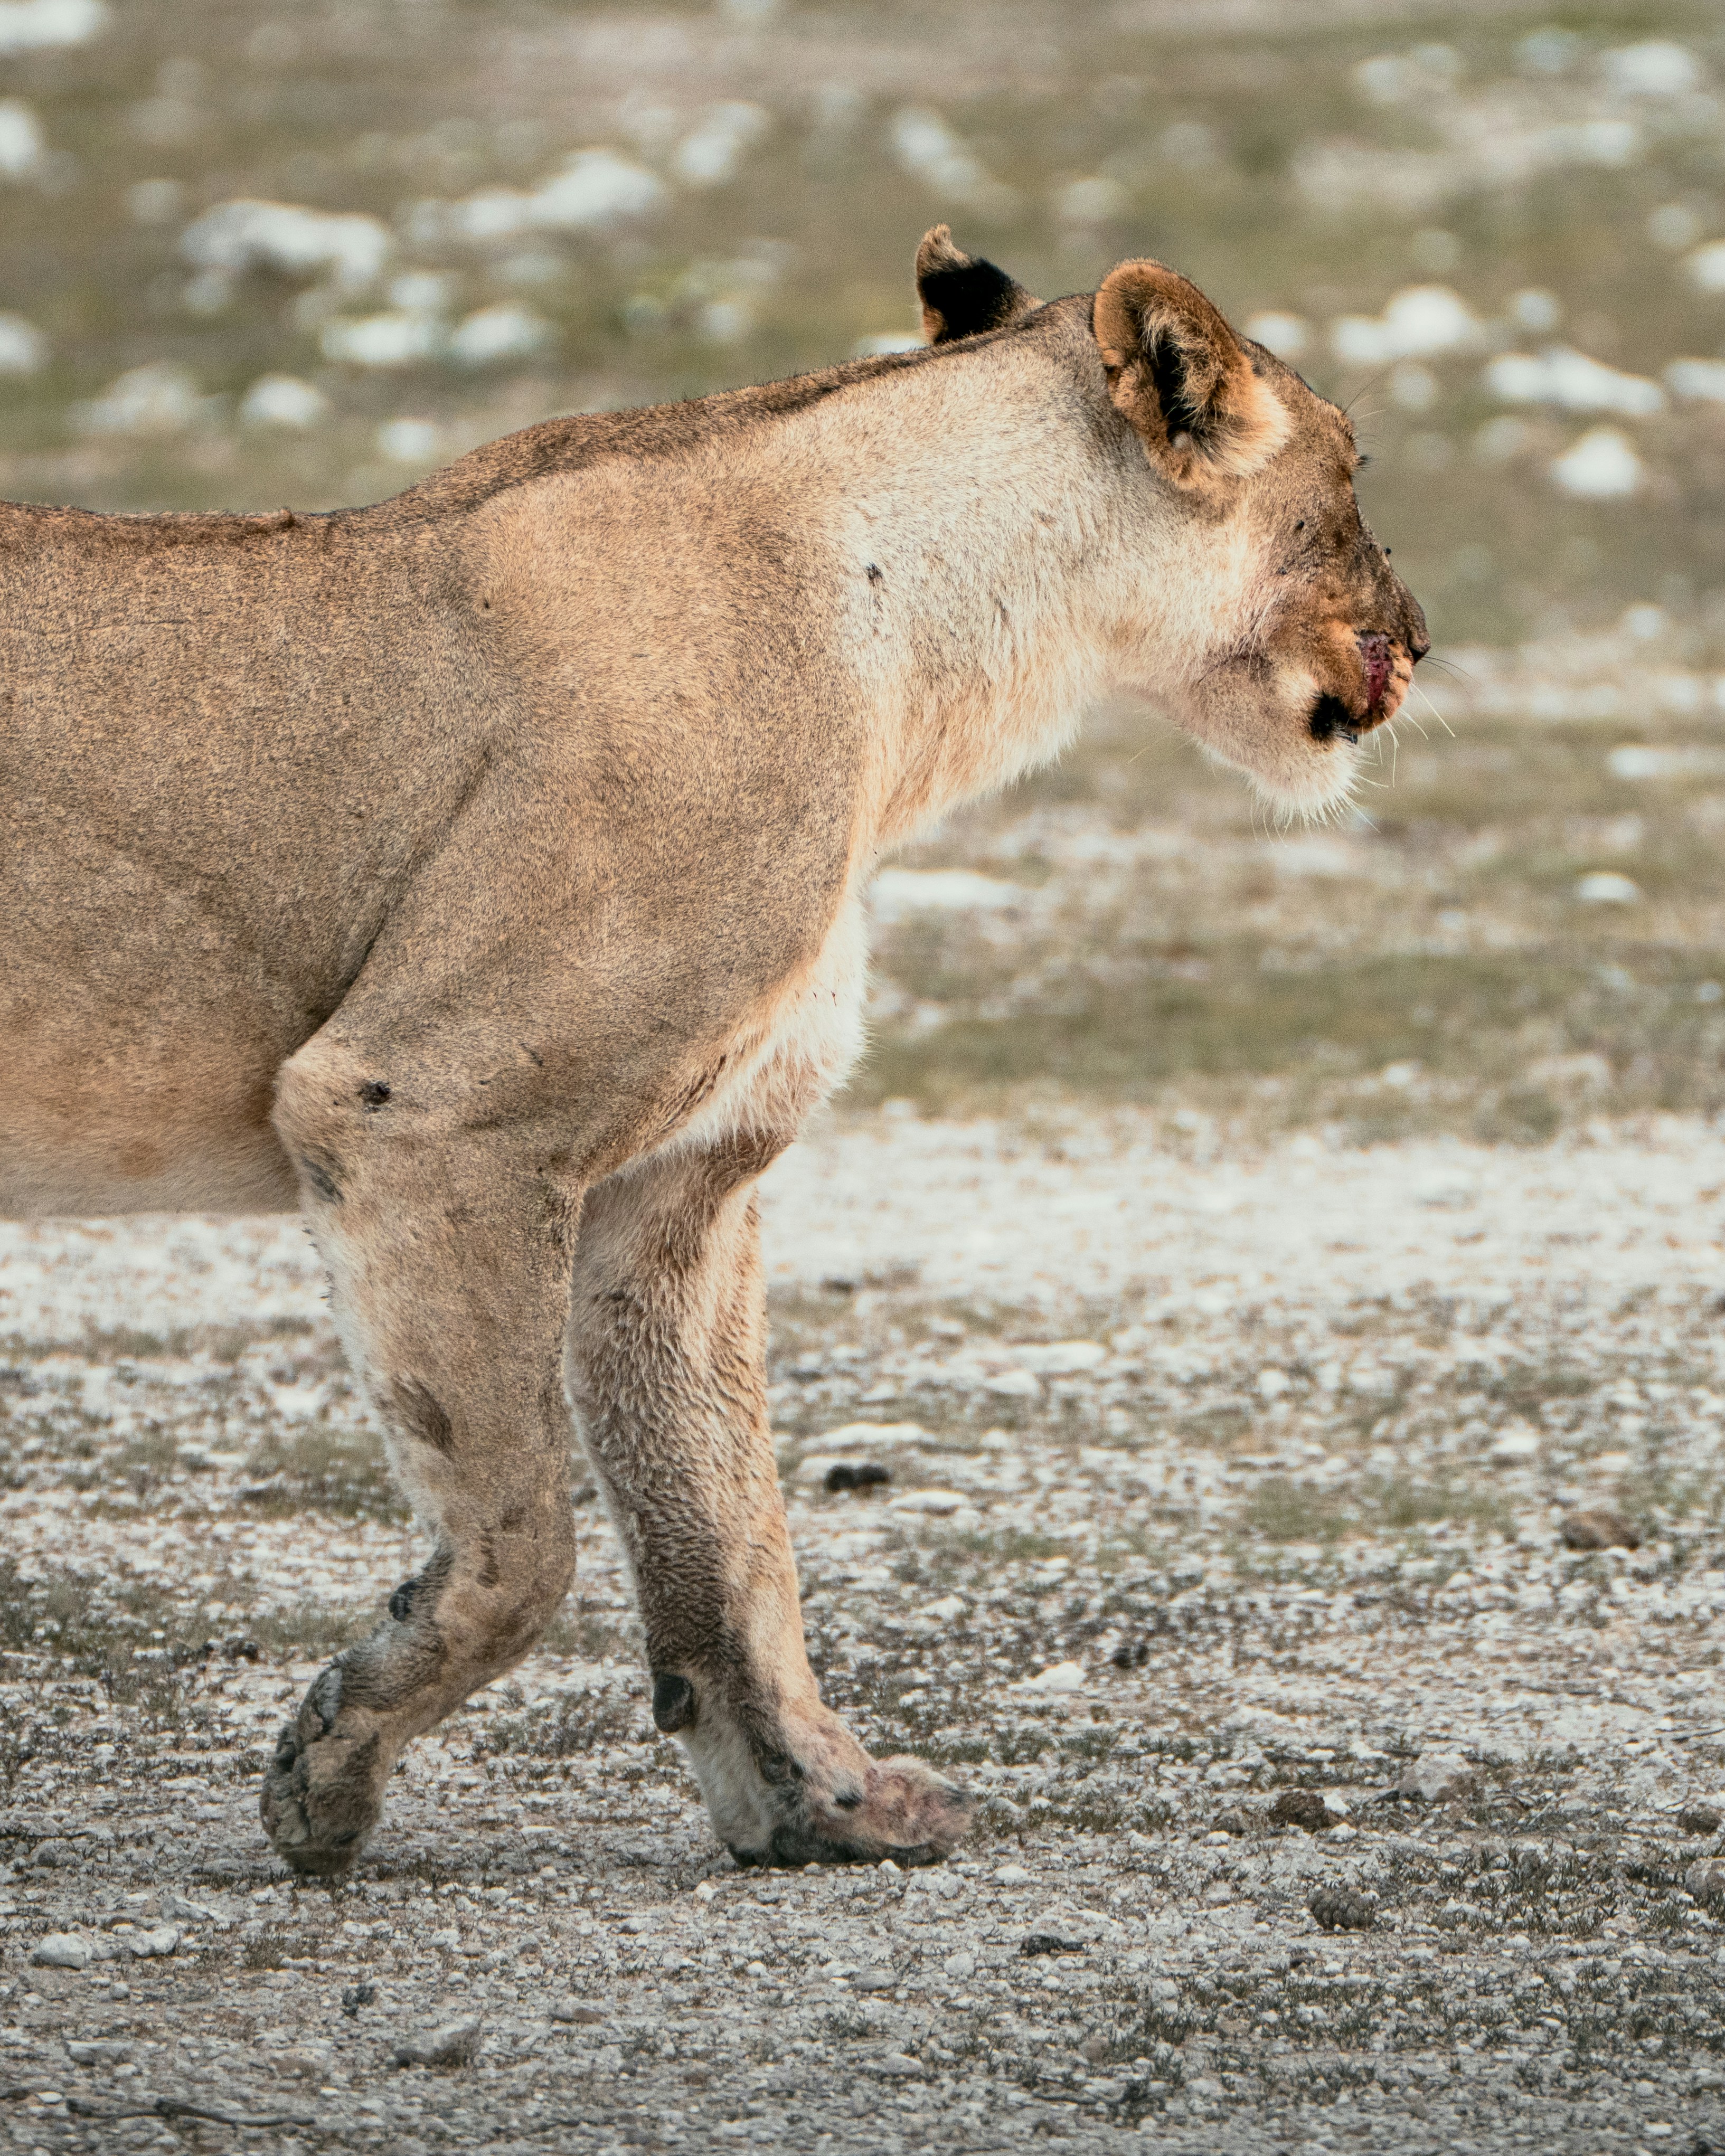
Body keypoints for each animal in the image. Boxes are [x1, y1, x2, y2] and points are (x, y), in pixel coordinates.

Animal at [0, 229, 1426, 1876]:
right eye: (1351, 466)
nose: (1423, 639)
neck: (929, 653)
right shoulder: (422, 1105)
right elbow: (522, 1542)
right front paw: (325, 1774)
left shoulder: (679, 1178)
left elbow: (726, 1519)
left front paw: (823, 1798)